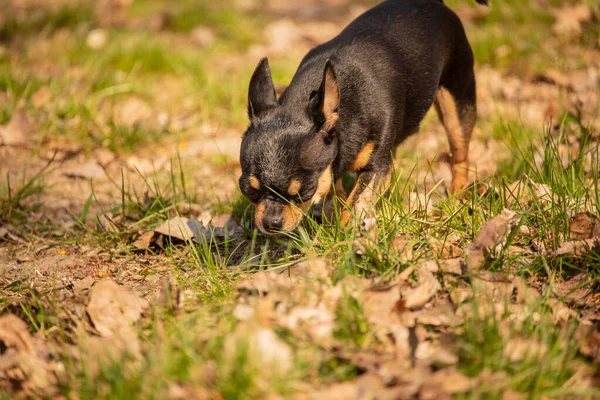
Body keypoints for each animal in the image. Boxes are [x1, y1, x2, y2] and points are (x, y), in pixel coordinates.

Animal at [239, 0, 488, 234]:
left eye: (304, 192)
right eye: (248, 190)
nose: (271, 223)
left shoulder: (375, 167)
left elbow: (356, 201)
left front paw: (348, 235)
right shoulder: (337, 166)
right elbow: (337, 194)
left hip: (457, 101)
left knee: (460, 154)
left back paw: (456, 197)